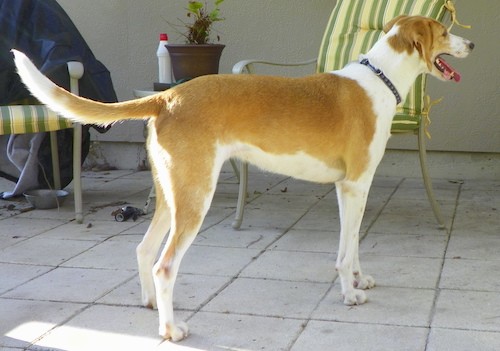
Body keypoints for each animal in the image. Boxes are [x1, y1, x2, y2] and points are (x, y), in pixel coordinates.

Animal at [11, 15, 472, 342]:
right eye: (445, 31)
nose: (472, 44)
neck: (379, 80)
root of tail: (168, 95)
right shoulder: (355, 184)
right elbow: (344, 253)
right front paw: (351, 294)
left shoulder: (349, 189)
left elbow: (353, 243)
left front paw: (359, 279)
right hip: (196, 198)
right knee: (164, 265)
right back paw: (171, 330)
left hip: (172, 196)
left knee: (144, 251)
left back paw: (151, 308)